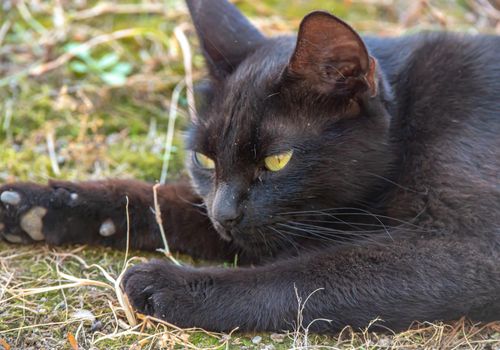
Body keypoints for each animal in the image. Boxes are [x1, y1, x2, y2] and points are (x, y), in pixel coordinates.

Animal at [0, 0, 500, 332]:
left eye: (277, 161)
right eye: (204, 158)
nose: (224, 214)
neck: (412, 119)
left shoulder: (468, 245)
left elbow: (304, 279)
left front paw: (168, 284)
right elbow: (156, 199)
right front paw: (34, 204)